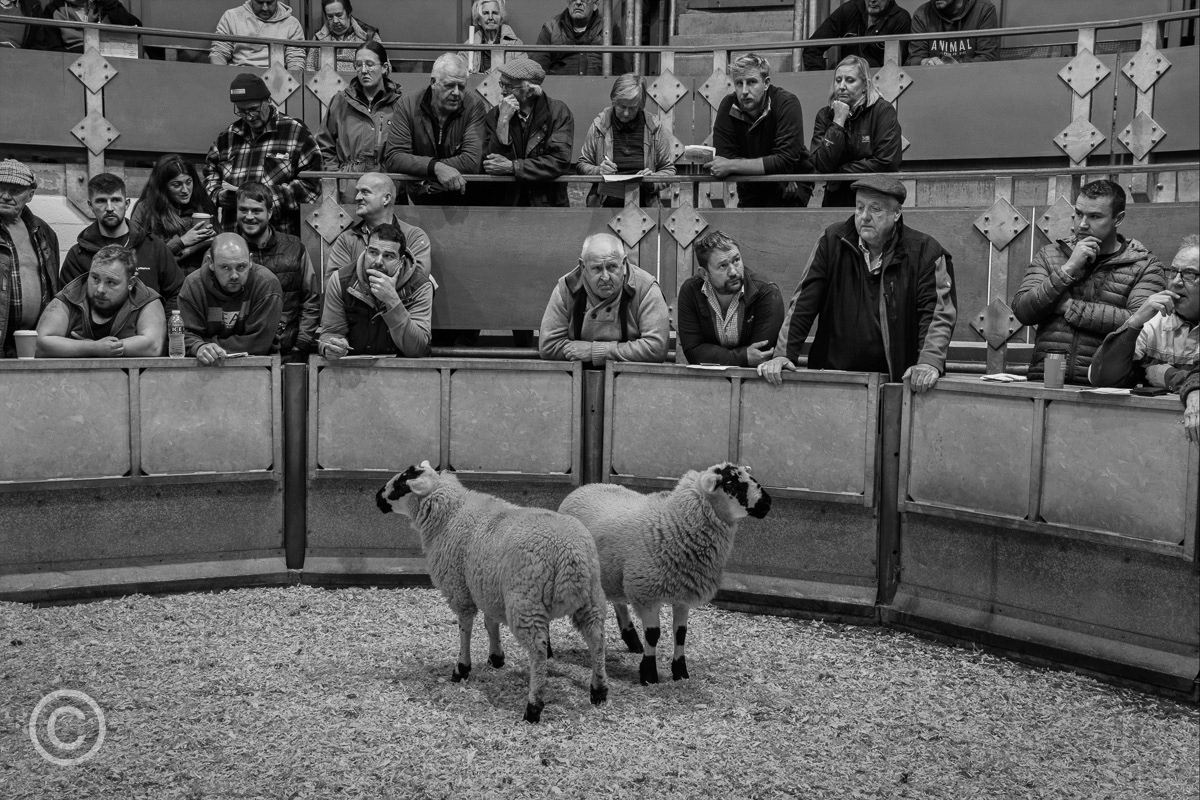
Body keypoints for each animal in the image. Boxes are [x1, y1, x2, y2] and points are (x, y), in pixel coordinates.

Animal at [375, 461, 608, 723]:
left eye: (400, 485)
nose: (377, 497)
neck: (452, 513)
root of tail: (570, 554)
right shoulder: (487, 586)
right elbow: (490, 623)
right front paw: (496, 657)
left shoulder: (460, 588)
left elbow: (465, 628)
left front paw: (461, 668)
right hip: (590, 599)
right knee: (597, 640)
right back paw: (599, 691)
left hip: (525, 603)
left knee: (539, 651)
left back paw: (533, 706)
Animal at [557, 462, 770, 685]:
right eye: (730, 483)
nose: (767, 503)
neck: (674, 521)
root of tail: (584, 487)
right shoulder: (646, 593)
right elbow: (653, 634)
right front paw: (649, 674)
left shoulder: (683, 595)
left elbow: (681, 634)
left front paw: (680, 672)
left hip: (614, 572)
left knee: (618, 602)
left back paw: (632, 640)